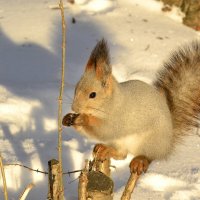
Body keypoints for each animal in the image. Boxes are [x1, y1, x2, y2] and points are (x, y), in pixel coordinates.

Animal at [62, 39, 200, 175]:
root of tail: (168, 142)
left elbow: (104, 130)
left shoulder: (118, 118)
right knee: (122, 154)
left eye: (93, 95)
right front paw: (68, 118)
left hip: (149, 142)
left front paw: (83, 119)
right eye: (76, 89)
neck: (111, 103)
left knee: (150, 156)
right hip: (119, 142)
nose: (75, 109)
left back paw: (140, 160)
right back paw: (104, 149)